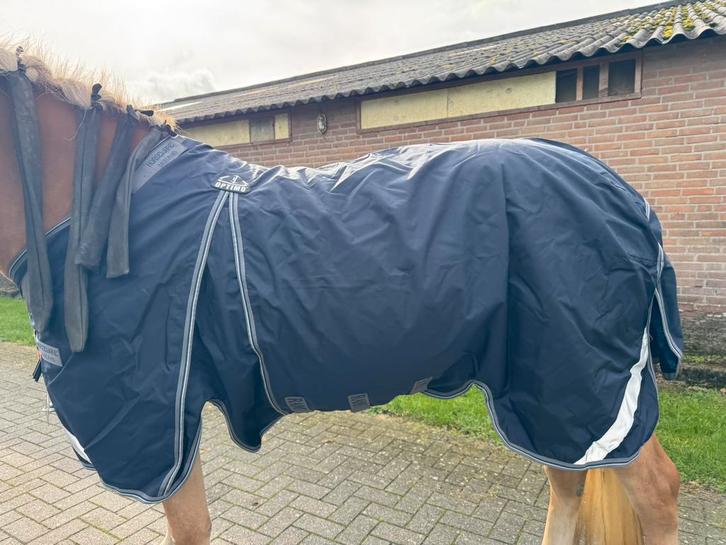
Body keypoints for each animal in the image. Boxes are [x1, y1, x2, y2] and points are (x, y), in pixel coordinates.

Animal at [0, 43, 684, 545]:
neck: (104, 202)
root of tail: (626, 197)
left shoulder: (158, 422)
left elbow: (191, 528)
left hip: (580, 386)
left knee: (655, 492)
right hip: (543, 394)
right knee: (570, 485)